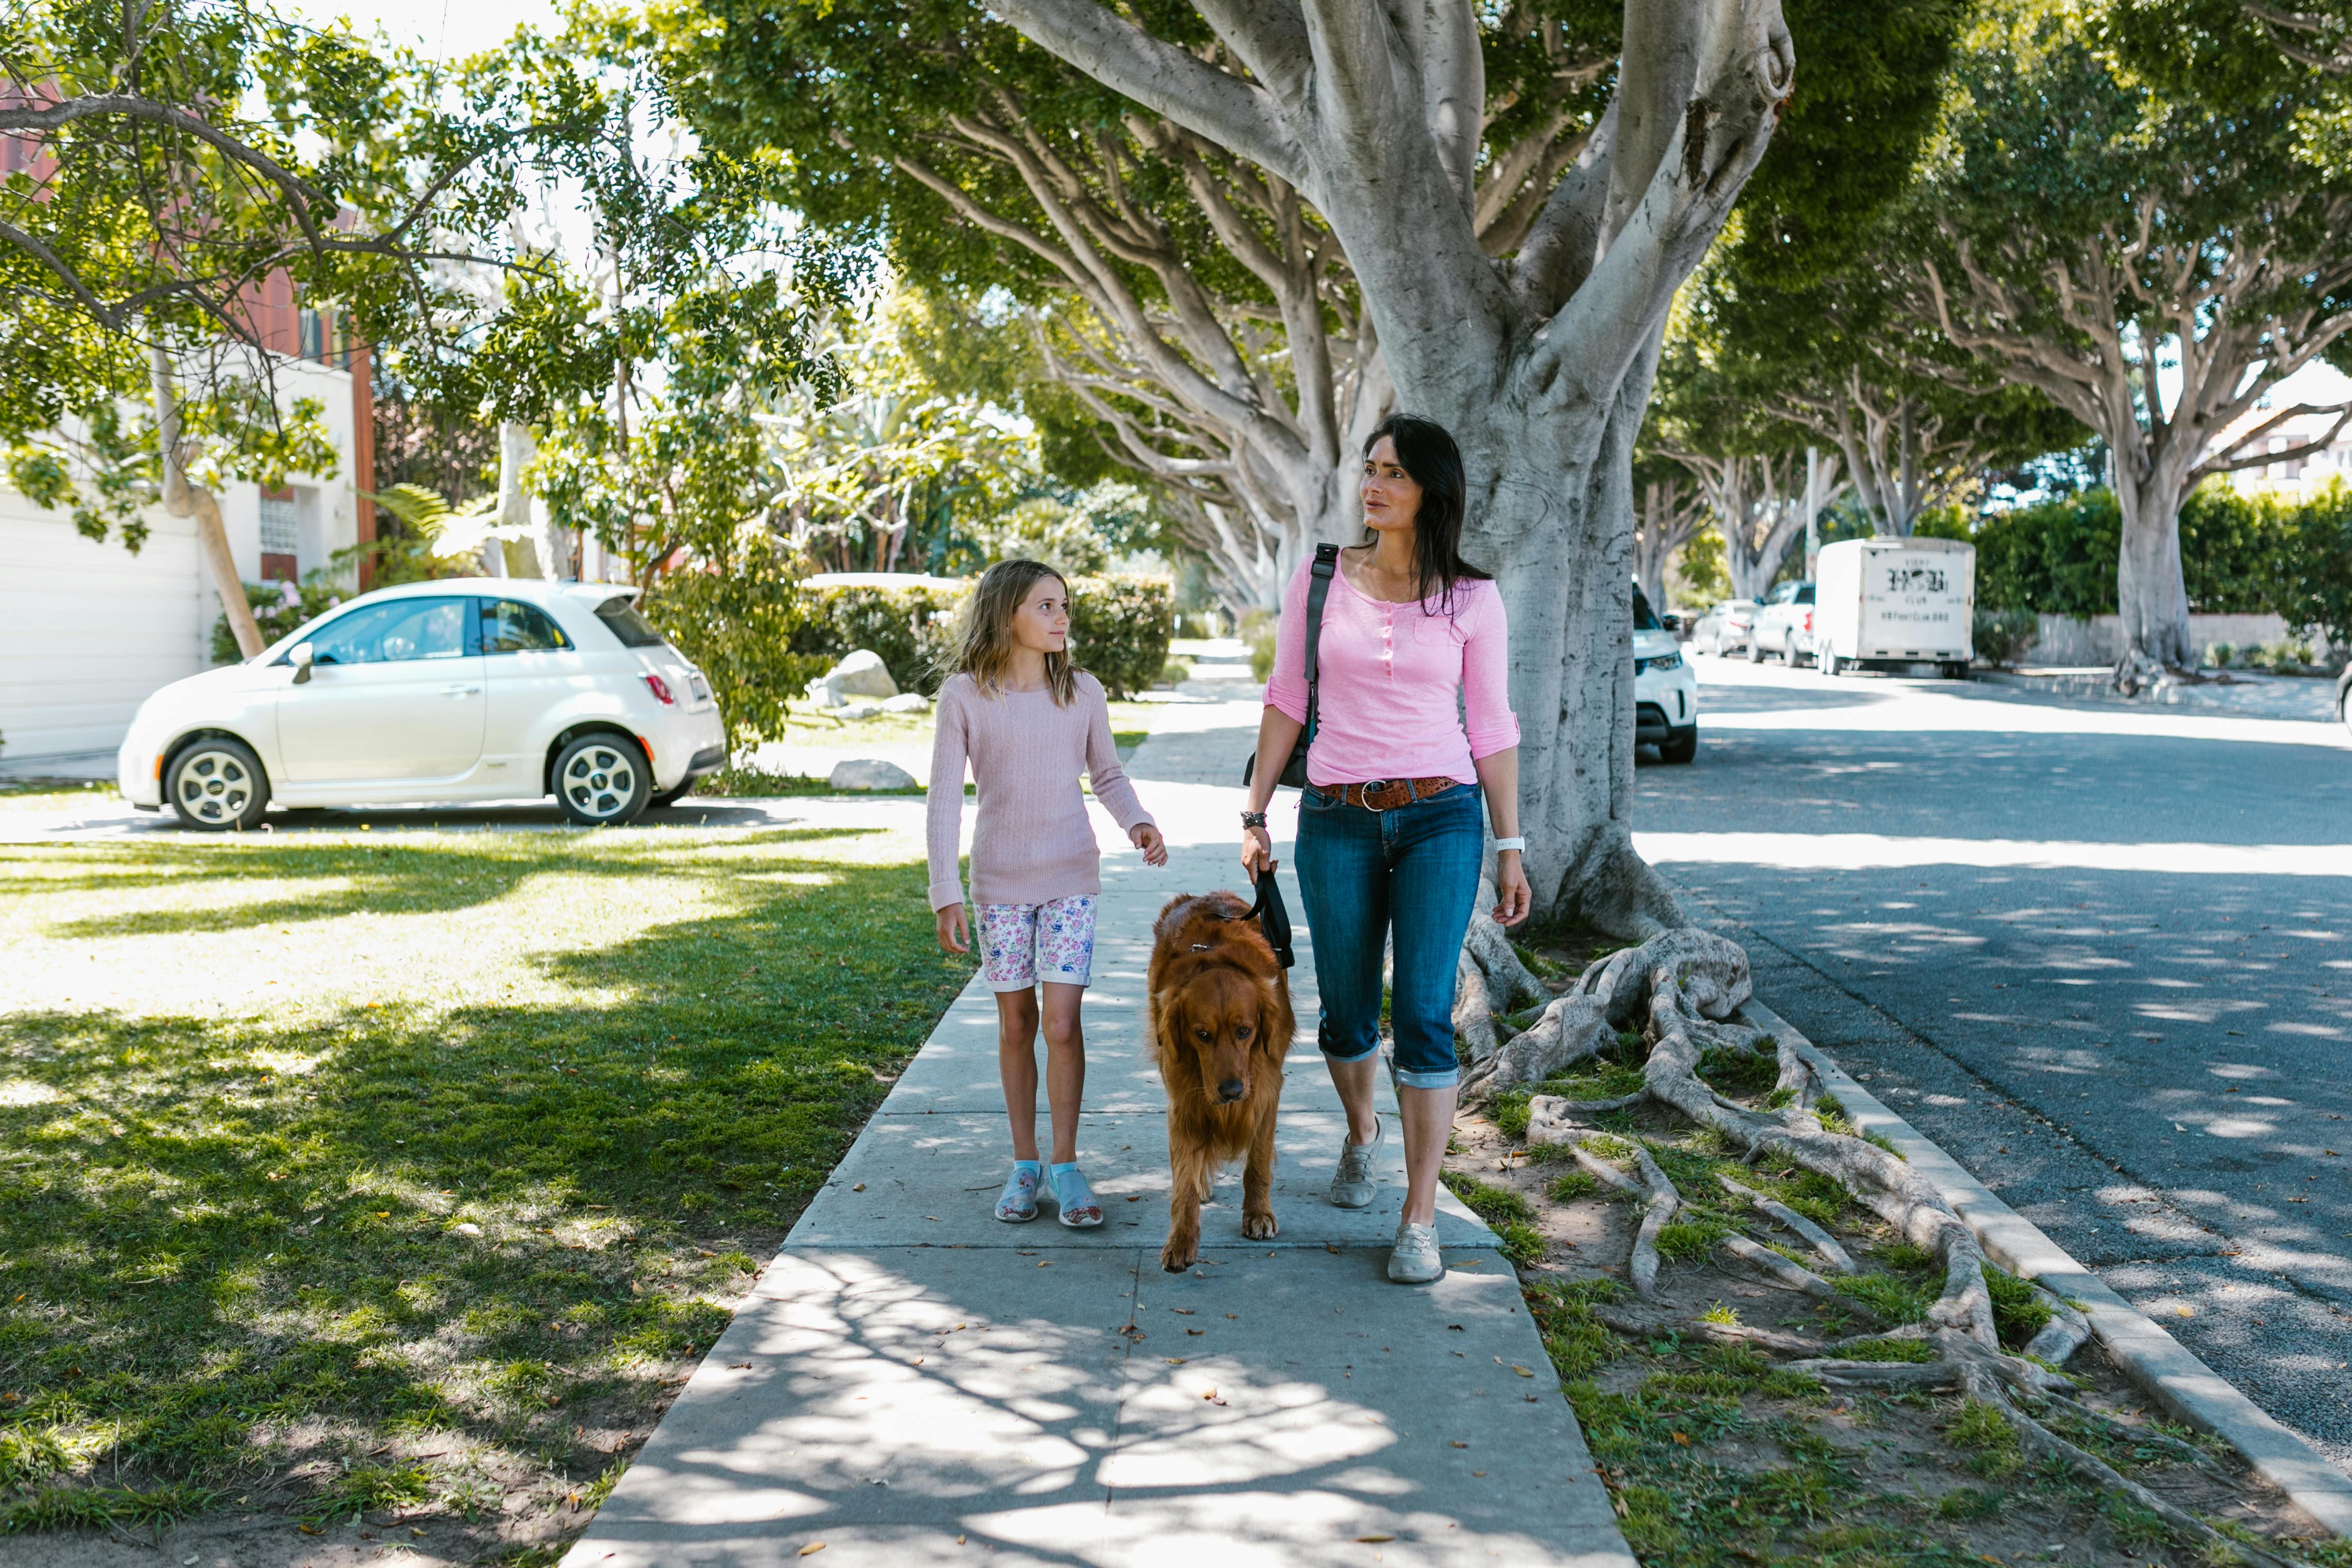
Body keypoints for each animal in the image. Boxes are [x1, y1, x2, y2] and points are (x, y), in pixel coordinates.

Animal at [1148, 893, 1298, 1279]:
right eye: (1202, 1034)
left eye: (1244, 1031)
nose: (1231, 1091)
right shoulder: (1183, 1102)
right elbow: (1183, 1184)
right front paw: (1181, 1240)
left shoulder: (1265, 1094)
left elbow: (1258, 1163)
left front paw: (1258, 1214)